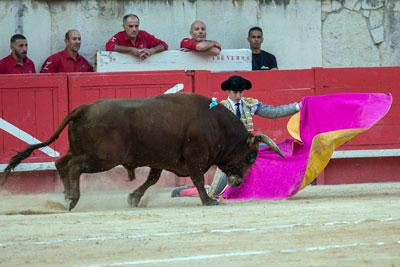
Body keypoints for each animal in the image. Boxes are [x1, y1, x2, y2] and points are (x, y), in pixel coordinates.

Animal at [3, 93, 284, 210]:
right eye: (251, 156)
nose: (238, 181)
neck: (216, 124)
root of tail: (84, 108)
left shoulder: (160, 160)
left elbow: (152, 179)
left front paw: (133, 198)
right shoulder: (194, 159)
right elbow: (196, 179)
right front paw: (208, 200)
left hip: (82, 150)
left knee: (62, 163)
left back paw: (65, 197)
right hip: (102, 158)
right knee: (73, 166)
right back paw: (72, 199)